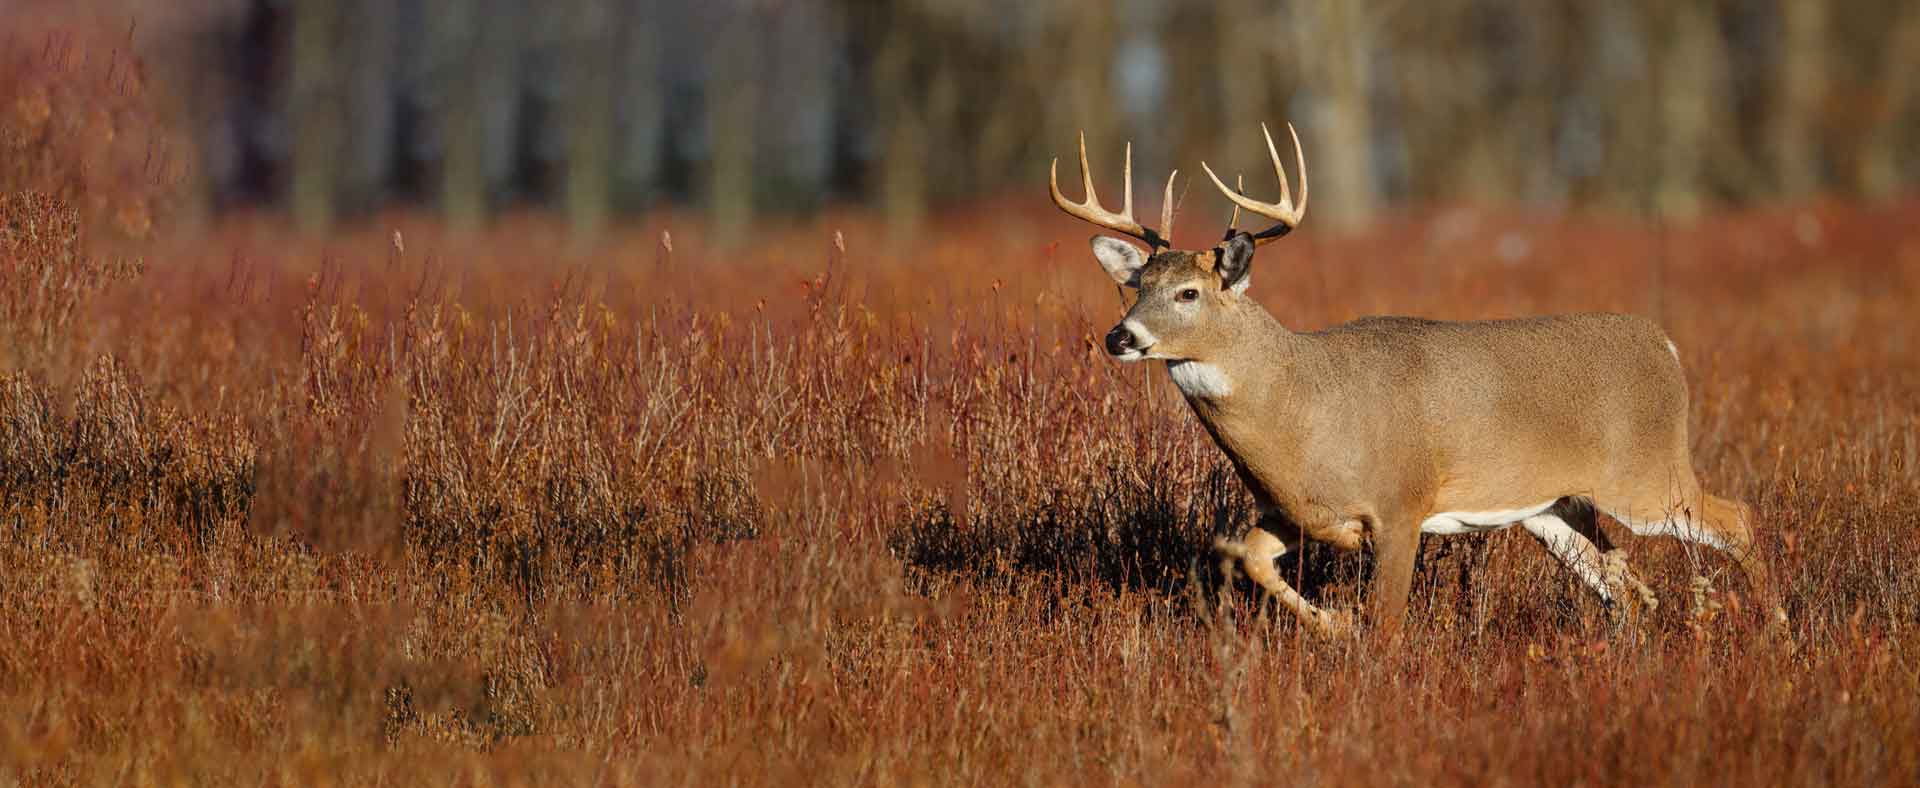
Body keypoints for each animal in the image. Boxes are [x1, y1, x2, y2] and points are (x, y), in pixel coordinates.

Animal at [1050, 123, 1772, 637]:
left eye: (1189, 292)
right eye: (1136, 287)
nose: (1120, 337)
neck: (1304, 408)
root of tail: (1666, 345)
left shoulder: (1402, 504)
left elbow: (1387, 624)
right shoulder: (1294, 509)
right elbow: (1246, 557)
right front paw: (1334, 625)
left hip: (1645, 474)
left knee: (1737, 518)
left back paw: (1778, 632)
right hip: (1554, 505)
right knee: (1619, 577)